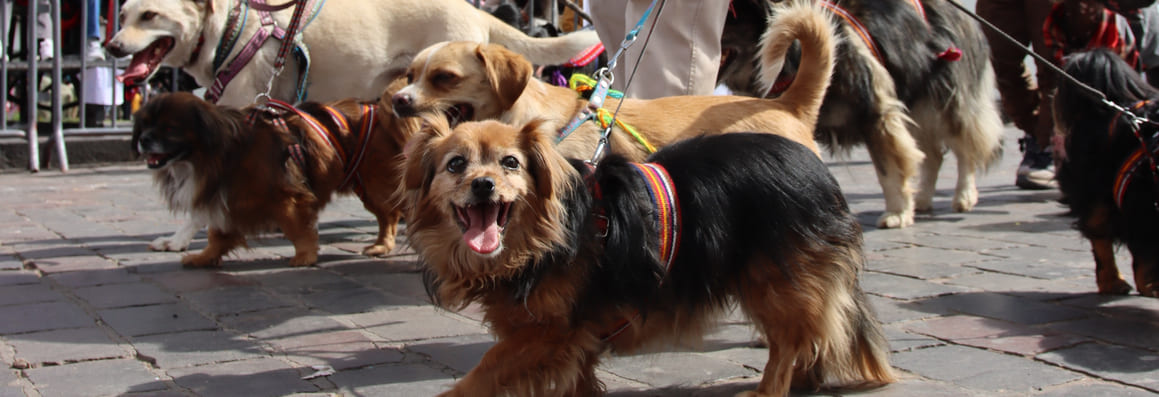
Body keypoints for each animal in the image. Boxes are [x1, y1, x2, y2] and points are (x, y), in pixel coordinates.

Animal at [109, 0, 602, 252]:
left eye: (149, 16)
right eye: (124, 13)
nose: (111, 47)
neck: (231, 26)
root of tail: (479, 12)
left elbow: (204, 199)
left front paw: (179, 239)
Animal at [401, 119, 894, 395]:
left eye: (510, 163)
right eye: (455, 164)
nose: (483, 185)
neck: (534, 242)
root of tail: (817, 167)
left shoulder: (548, 333)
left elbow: (484, 371)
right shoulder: (573, 338)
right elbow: (578, 379)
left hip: (772, 283)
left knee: (789, 342)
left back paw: (770, 389)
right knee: (811, 336)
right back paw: (806, 383)